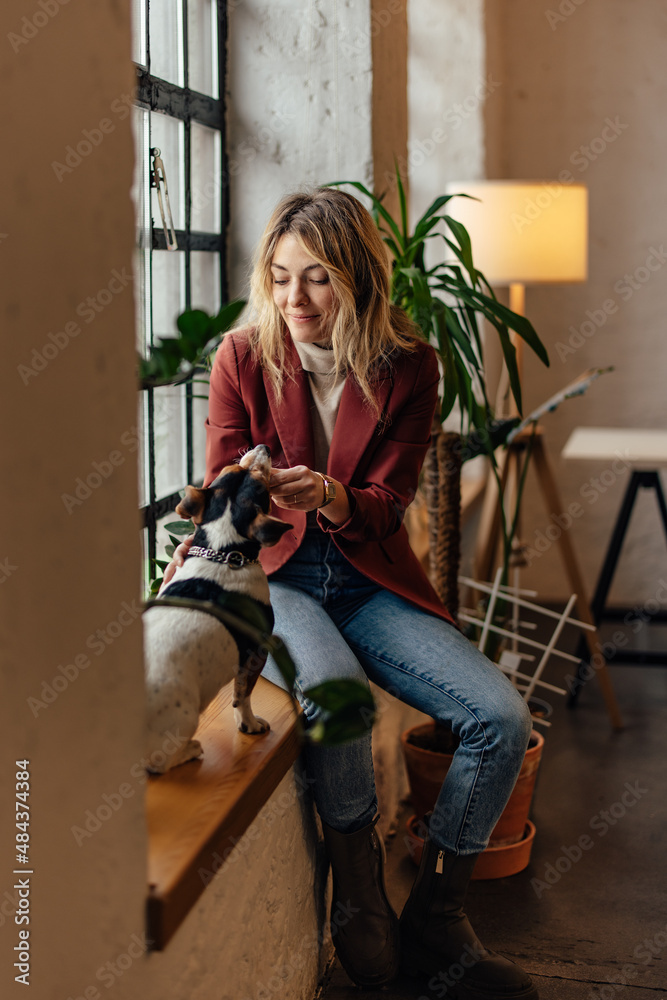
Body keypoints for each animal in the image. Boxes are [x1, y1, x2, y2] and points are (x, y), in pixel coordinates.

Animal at [142, 444, 290, 772]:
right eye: (260, 479)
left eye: (228, 470)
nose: (264, 446)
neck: (222, 552)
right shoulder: (256, 652)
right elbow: (242, 694)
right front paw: (249, 724)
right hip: (184, 718)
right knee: (159, 762)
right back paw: (190, 750)